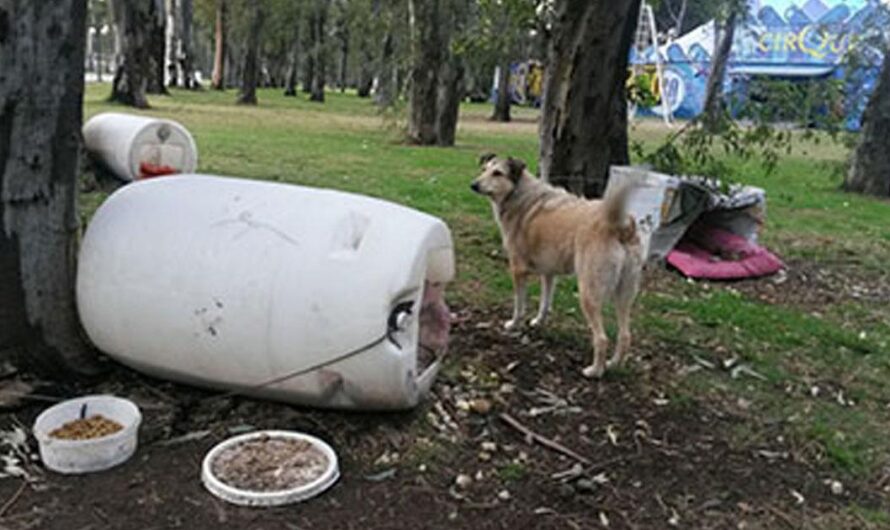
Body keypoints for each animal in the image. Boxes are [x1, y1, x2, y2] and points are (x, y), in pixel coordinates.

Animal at [468, 152, 640, 376]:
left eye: (497, 173)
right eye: (484, 169)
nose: (473, 185)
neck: (518, 193)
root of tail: (621, 226)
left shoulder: (517, 270)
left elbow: (519, 305)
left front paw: (514, 325)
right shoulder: (549, 273)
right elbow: (545, 303)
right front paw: (538, 322)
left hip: (588, 293)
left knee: (602, 339)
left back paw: (594, 371)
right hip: (624, 295)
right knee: (625, 335)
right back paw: (613, 365)